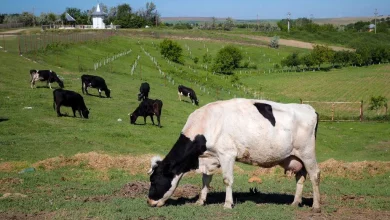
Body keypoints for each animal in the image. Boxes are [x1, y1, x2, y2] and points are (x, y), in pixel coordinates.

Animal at [146, 99, 320, 212]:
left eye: (153, 180)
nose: (149, 202)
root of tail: (308, 108)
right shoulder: (210, 158)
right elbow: (205, 180)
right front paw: (200, 201)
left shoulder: (227, 154)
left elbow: (227, 180)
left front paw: (228, 204)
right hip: (296, 157)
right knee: (301, 177)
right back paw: (295, 202)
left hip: (307, 152)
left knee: (315, 175)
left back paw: (316, 206)